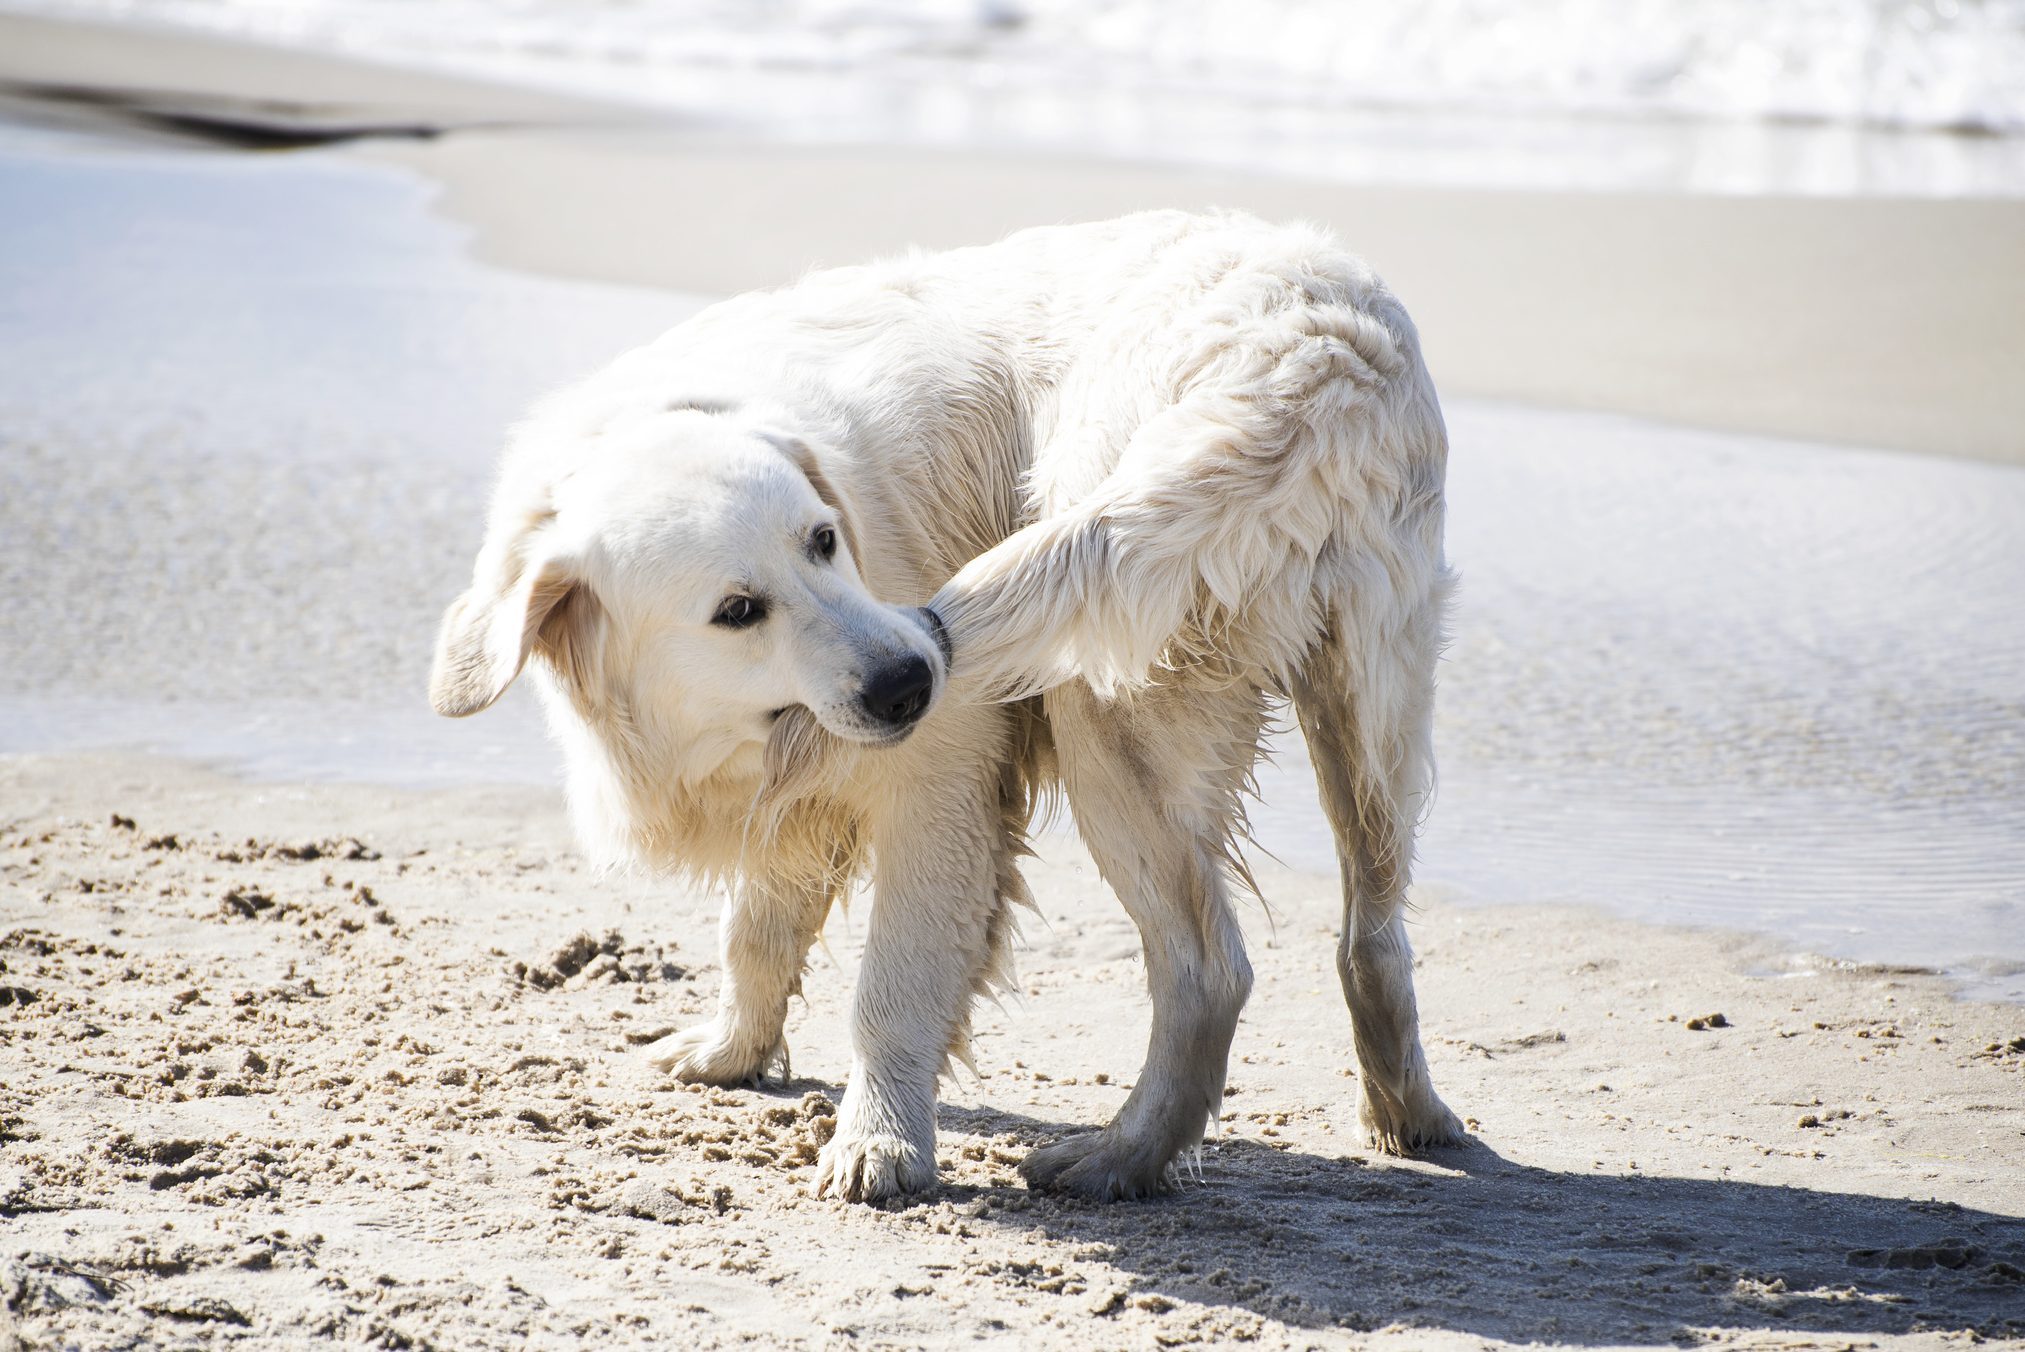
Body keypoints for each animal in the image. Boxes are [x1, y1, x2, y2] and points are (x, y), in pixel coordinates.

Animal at [435, 208, 1466, 1206]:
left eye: (823, 540)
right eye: (737, 610)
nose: (911, 680)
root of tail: (1312, 355)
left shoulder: (940, 784)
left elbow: (890, 989)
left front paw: (879, 1143)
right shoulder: (792, 789)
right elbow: (754, 931)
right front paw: (730, 1052)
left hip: (1106, 705)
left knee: (1209, 970)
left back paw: (1117, 1160)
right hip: (1370, 706)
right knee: (1372, 937)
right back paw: (1408, 1117)